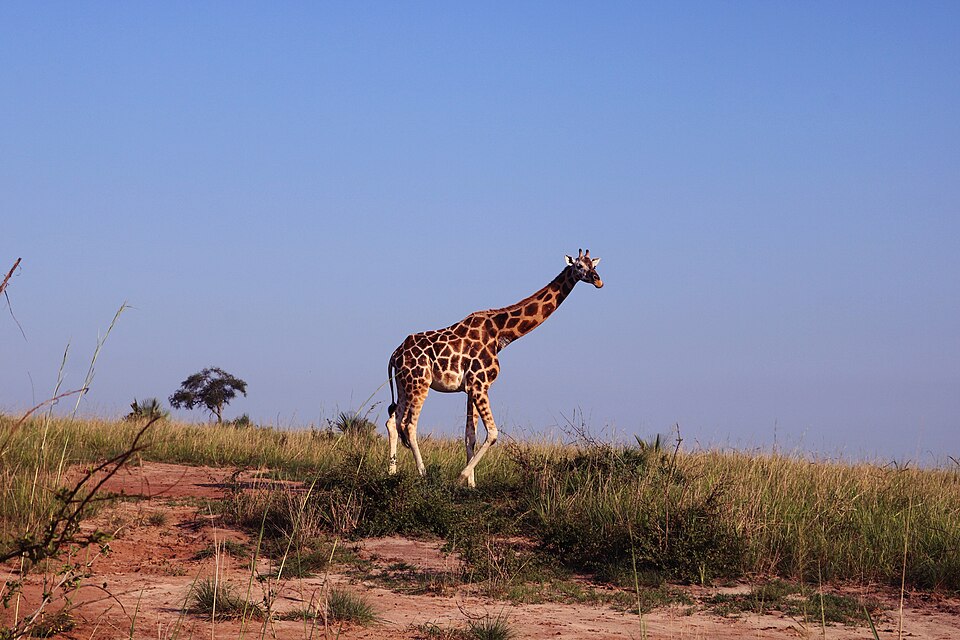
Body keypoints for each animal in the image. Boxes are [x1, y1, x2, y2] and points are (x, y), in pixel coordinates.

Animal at [385, 249, 603, 487]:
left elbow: (470, 436)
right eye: (579, 266)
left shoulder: (471, 387)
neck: (500, 332)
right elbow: (493, 433)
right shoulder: (480, 384)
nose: (598, 280)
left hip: (403, 384)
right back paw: (423, 474)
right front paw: (461, 477)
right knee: (408, 425)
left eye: (594, 265)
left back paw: (391, 474)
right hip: (419, 383)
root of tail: (394, 354)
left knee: (392, 421)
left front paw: (471, 484)